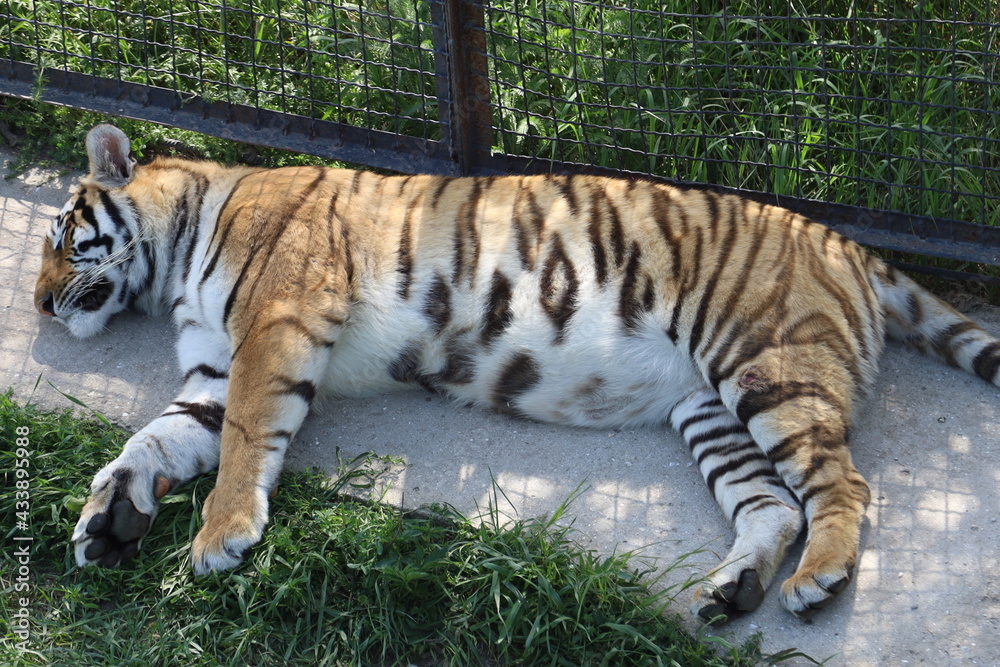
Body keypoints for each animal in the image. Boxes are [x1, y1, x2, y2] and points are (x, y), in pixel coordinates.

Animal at [33, 124, 1000, 622]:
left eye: (60, 237)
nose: (40, 306)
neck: (179, 248)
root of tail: (846, 240)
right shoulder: (209, 367)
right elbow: (153, 438)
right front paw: (106, 518)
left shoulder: (277, 324)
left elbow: (242, 437)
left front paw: (219, 535)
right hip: (709, 407)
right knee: (771, 504)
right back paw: (737, 588)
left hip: (766, 365)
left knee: (844, 484)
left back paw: (815, 580)